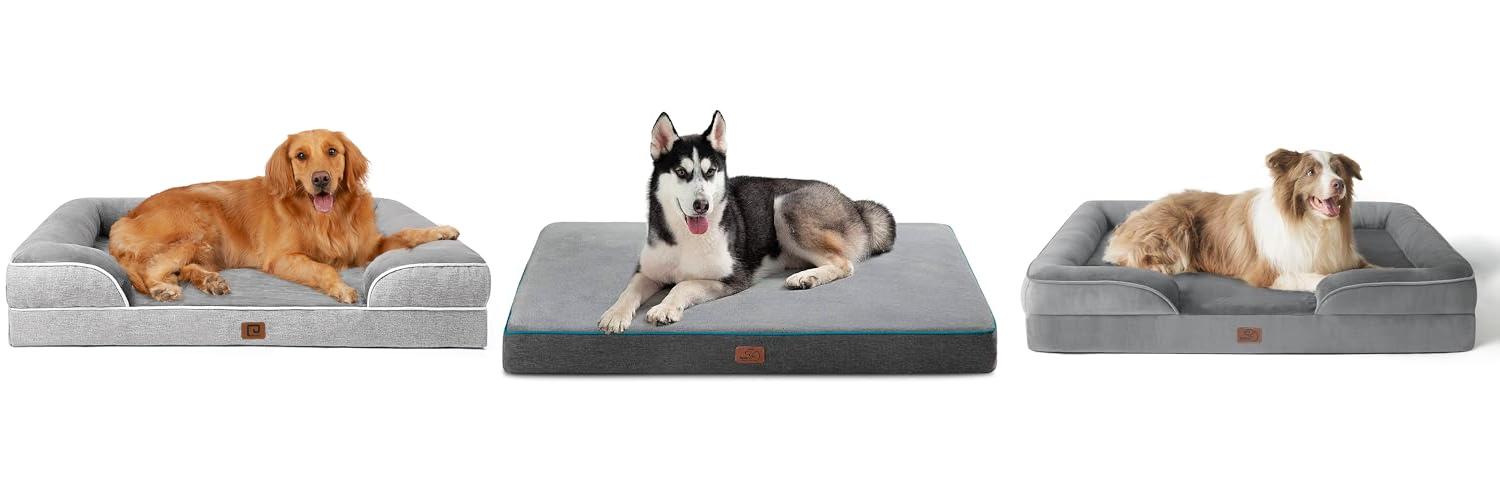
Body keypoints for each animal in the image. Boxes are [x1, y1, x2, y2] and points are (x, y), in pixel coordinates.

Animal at [108, 129, 459, 303]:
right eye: (300, 156)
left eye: (333, 151)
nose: (321, 179)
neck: (326, 218)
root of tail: (125, 218)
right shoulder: (281, 258)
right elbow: (322, 269)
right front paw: (342, 288)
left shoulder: (366, 248)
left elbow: (407, 233)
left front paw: (441, 230)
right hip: (197, 226)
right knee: (150, 268)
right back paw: (162, 289)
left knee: (181, 268)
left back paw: (209, 281)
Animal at [596, 111, 896, 333]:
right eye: (681, 172)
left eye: (710, 172)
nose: (702, 205)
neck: (686, 238)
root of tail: (853, 204)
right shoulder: (646, 272)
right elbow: (629, 290)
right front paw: (614, 314)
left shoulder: (733, 278)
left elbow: (684, 284)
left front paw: (665, 307)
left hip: (785, 205)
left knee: (843, 264)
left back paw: (806, 277)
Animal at [1103, 149, 1369, 292]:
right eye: (1310, 172)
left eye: (1337, 171)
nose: (1339, 184)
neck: (1312, 225)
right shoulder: (1268, 271)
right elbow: (1322, 278)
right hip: (1176, 224)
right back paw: (1160, 267)